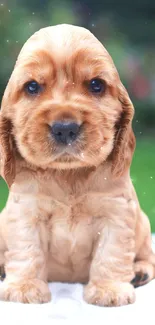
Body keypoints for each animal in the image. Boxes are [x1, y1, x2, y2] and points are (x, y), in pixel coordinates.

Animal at [0, 24, 155, 306]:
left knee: (148, 255)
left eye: (96, 85)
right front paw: (24, 288)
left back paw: (139, 272)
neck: (68, 174)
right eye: (32, 87)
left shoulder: (116, 213)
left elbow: (110, 253)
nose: (65, 128)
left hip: (143, 225)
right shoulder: (26, 211)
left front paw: (109, 290)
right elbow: (27, 250)